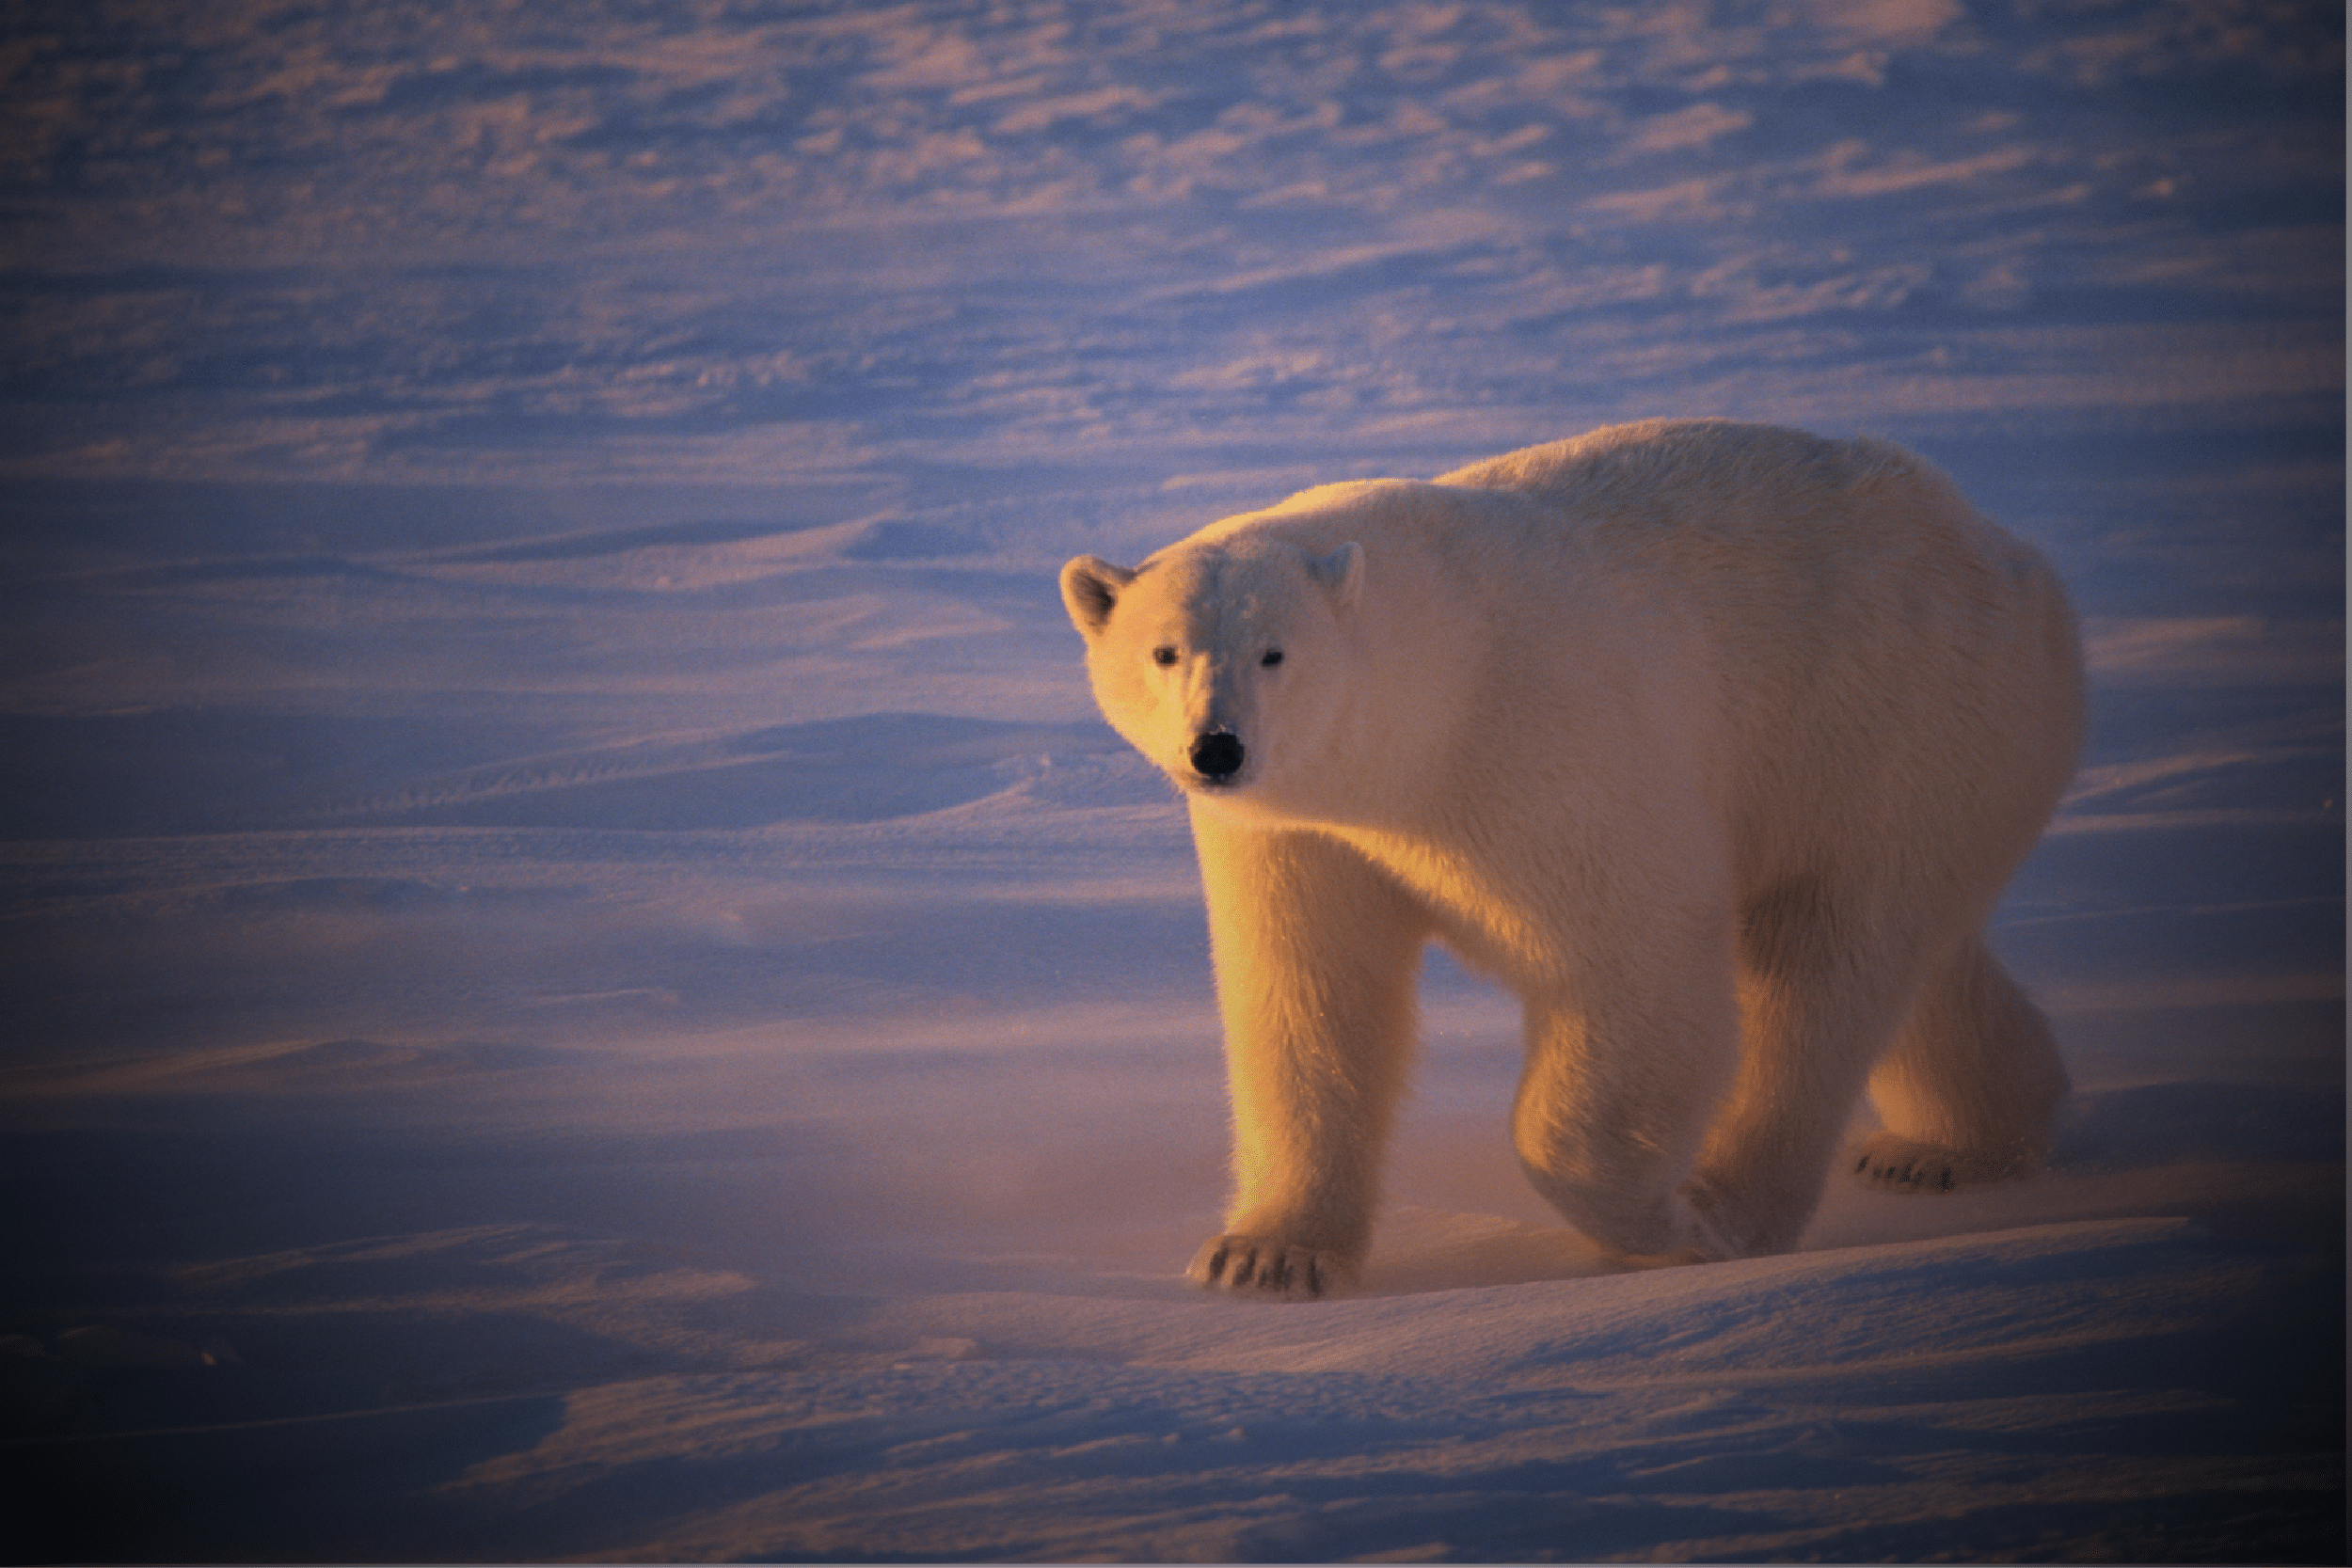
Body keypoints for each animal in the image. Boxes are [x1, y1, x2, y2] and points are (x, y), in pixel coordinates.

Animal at [1063, 416, 2079, 1297]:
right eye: (1164, 651)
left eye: (1275, 653)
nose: (1217, 748)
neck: (1430, 695)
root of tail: (2021, 562)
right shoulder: (1299, 834)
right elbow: (1308, 995)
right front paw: (1264, 1255)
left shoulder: (1542, 743)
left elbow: (1631, 953)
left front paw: (1656, 1220)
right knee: (1918, 953)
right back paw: (1950, 1146)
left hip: (1888, 712)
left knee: (1821, 963)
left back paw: (1732, 1207)